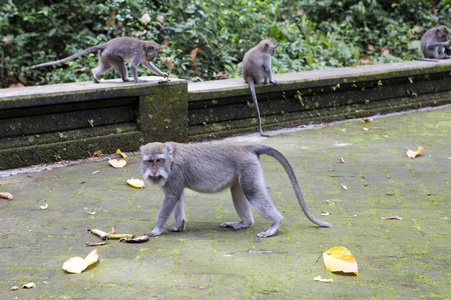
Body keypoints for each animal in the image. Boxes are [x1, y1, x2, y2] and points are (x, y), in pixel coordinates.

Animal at [31, 36, 169, 83]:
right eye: (154, 55)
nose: (151, 58)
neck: (145, 47)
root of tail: (105, 45)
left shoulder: (143, 55)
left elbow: (146, 64)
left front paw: (163, 74)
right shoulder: (140, 53)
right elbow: (133, 66)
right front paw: (138, 80)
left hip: (104, 56)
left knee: (105, 67)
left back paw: (94, 74)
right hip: (110, 54)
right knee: (120, 63)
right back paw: (126, 79)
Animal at [139, 142, 334, 238]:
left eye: (158, 160)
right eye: (149, 161)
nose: (154, 171)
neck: (171, 158)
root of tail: (246, 147)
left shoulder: (176, 171)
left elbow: (172, 197)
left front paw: (157, 229)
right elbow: (177, 197)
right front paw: (180, 226)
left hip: (248, 167)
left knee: (253, 192)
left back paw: (275, 224)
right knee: (238, 192)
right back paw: (245, 223)